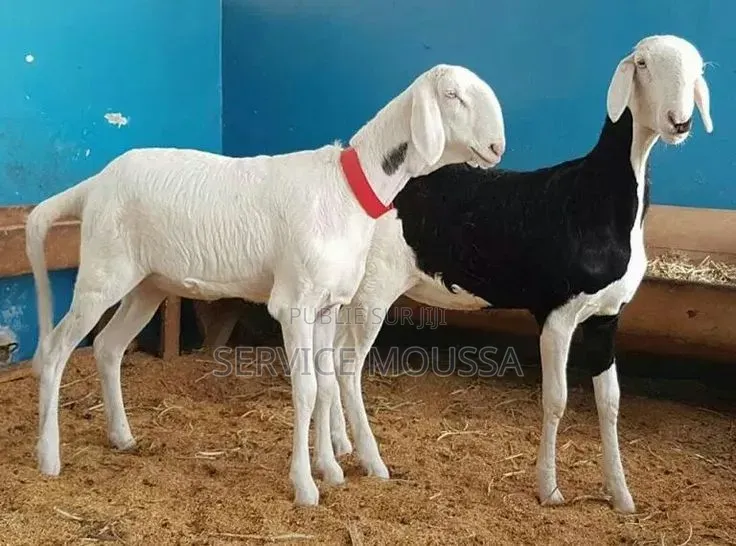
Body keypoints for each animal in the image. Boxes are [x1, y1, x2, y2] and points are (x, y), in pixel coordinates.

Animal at [24, 63, 506, 506]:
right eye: (452, 95)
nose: (497, 147)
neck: (346, 190)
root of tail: (94, 185)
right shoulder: (294, 303)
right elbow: (307, 390)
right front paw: (306, 487)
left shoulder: (328, 306)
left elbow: (326, 385)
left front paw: (331, 469)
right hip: (102, 273)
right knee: (55, 350)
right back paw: (48, 457)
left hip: (147, 284)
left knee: (108, 347)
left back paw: (122, 436)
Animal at [326, 35, 713, 513]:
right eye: (641, 64)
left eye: (697, 69)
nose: (680, 122)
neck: (596, 197)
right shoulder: (557, 313)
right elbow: (556, 400)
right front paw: (550, 489)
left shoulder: (607, 316)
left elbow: (610, 403)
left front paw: (622, 496)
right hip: (373, 291)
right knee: (347, 367)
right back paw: (372, 460)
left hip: (349, 291)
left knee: (328, 359)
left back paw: (339, 445)